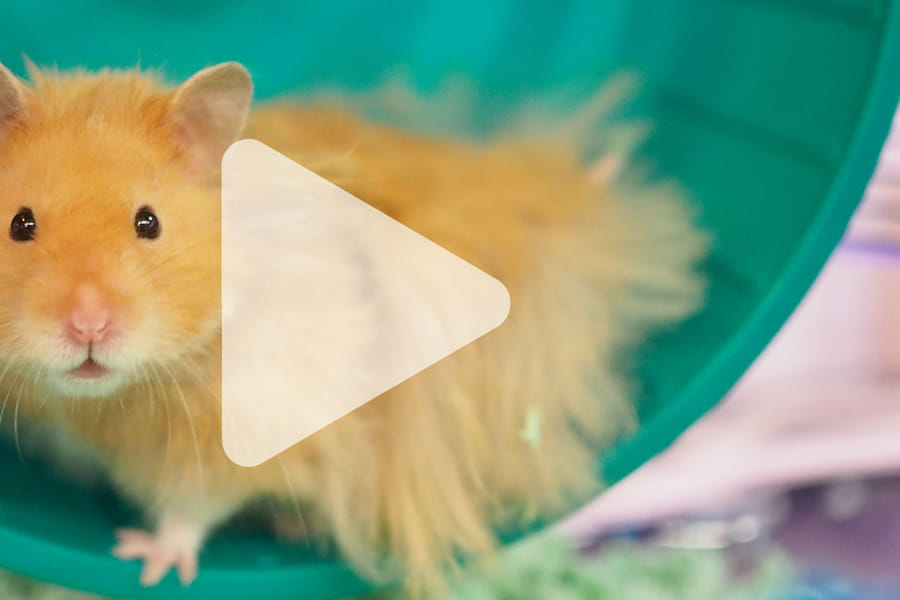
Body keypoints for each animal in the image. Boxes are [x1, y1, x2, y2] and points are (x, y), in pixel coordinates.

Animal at [0, 60, 707, 593]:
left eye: (148, 223)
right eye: (20, 223)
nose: (87, 326)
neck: (104, 401)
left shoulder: (250, 431)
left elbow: (192, 506)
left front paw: (144, 562)